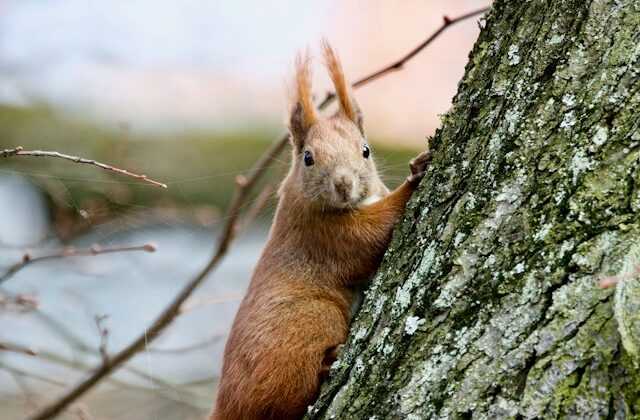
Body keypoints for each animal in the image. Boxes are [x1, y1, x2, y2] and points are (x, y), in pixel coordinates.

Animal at [212, 41, 432, 420]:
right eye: (308, 158)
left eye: (366, 150)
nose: (343, 183)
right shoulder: (320, 233)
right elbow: (372, 233)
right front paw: (415, 176)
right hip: (312, 321)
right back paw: (326, 365)